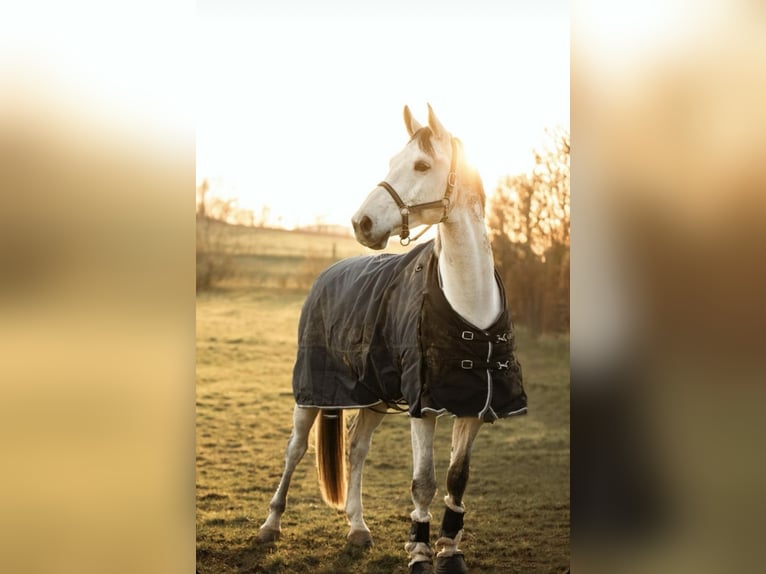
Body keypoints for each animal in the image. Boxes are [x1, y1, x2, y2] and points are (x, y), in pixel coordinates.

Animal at [257, 105, 527, 574]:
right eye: (391, 162)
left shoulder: (473, 404)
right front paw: (419, 554)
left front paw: (449, 551)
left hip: (374, 396)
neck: (468, 303)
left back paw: (358, 528)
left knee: (356, 448)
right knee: (294, 450)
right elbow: (424, 482)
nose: (361, 223)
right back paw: (271, 525)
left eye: (421, 165)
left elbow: (457, 479)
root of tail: (326, 274)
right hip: (310, 393)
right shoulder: (424, 406)